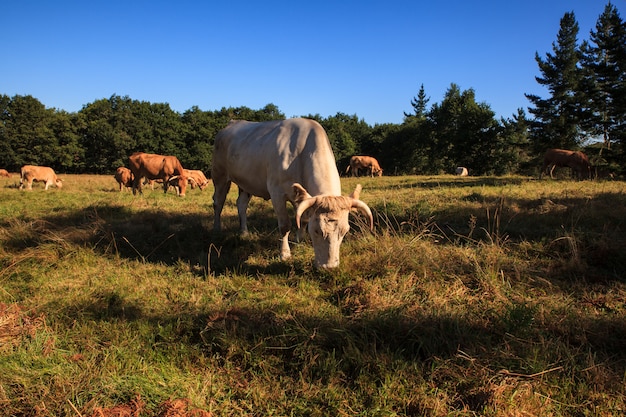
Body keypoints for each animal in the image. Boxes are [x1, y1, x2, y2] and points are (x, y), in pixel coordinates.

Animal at [212, 118, 372, 266]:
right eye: (317, 231)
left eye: (345, 231)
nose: (330, 266)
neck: (300, 154)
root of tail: (232, 123)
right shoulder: (277, 193)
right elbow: (285, 225)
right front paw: (285, 253)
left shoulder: (301, 197)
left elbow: (302, 219)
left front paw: (299, 242)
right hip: (220, 175)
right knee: (218, 202)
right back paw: (217, 229)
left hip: (246, 183)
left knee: (242, 204)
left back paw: (244, 232)